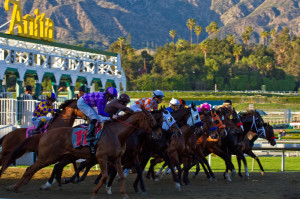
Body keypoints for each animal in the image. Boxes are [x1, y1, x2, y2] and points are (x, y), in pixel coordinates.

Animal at [1, 105, 162, 197]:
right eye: (152, 120)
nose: (159, 134)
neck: (117, 134)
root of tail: (45, 134)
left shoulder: (116, 158)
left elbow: (121, 176)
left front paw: (124, 194)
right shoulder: (101, 157)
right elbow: (104, 175)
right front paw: (95, 192)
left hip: (56, 156)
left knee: (39, 169)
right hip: (47, 157)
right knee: (30, 169)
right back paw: (15, 187)